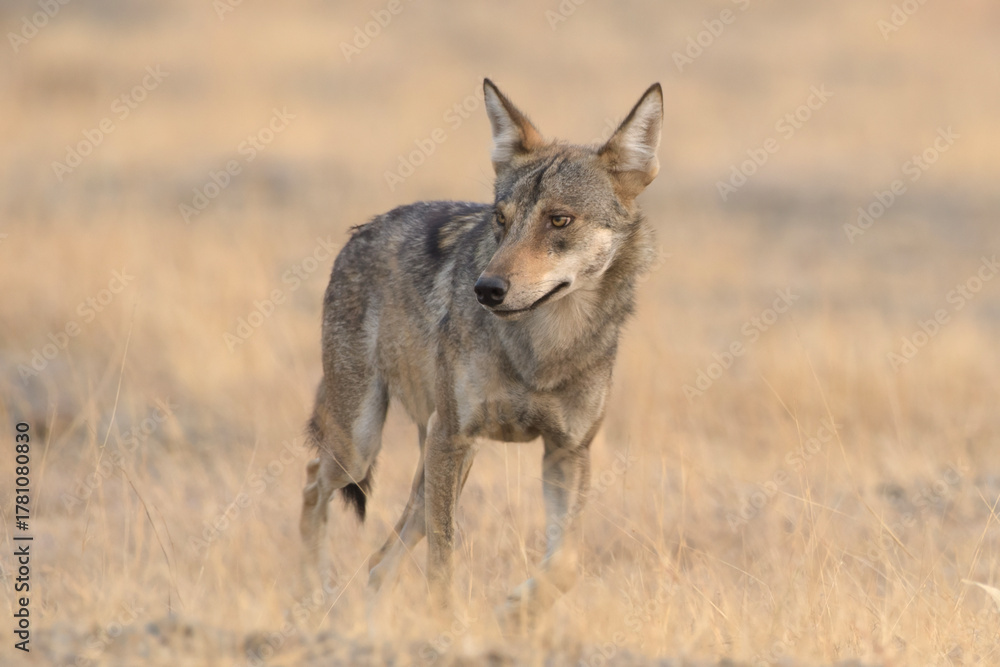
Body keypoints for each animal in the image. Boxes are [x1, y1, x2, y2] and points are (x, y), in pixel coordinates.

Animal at [299, 78, 662, 622]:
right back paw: (313, 597)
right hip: (364, 447)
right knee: (312, 485)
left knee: (380, 562)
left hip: (433, 462)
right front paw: (448, 628)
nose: (486, 289)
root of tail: (362, 229)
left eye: (559, 220)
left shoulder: (567, 451)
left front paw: (515, 613)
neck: (543, 350)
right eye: (501, 220)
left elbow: (566, 564)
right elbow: (443, 563)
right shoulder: (453, 436)